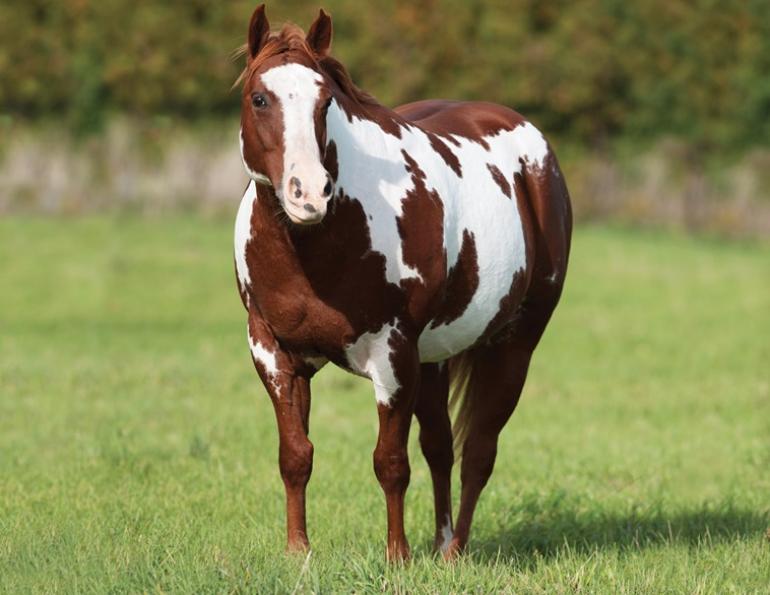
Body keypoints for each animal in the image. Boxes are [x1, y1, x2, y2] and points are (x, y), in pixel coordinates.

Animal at [233, 4, 572, 561]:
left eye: (325, 100)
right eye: (260, 98)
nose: (309, 193)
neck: (313, 251)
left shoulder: (392, 354)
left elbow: (389, 461)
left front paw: (397, 556)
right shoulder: (274, 351)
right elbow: (295, 454)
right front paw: (297, 551)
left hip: (514, 344)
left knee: (478, 451)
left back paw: (454, 551)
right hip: (433, 357)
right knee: (441, 448)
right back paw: (441, 541)